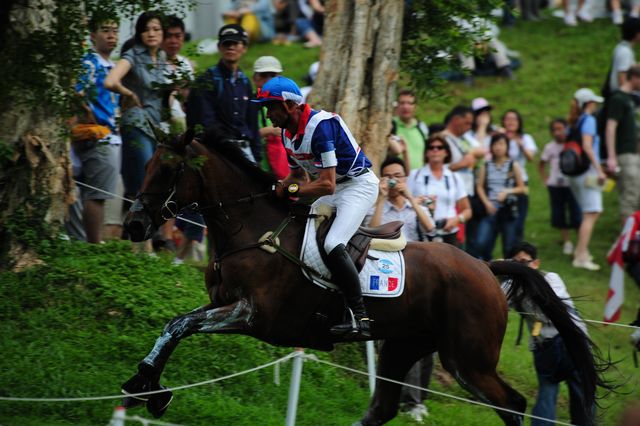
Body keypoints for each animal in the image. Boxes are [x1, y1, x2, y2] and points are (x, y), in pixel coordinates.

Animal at [121, 129, 602, 425]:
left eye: (168, 170)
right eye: (145, 166)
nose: (134, 226)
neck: (251, 230)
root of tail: (485, 266)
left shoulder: (251, 314)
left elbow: (181, 324)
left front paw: (148, 388)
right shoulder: (221, 304)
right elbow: (175, 325)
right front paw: (145, 386)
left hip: (468, 358)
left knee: (513, 404)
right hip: (406, 345)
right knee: (382, 409)